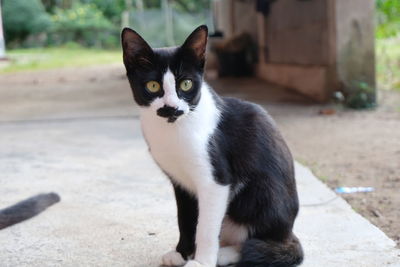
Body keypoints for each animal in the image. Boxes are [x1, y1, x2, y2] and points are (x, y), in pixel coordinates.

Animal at [122, 25, 304, 267]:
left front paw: (202, 261)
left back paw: (224, 254)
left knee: (261, 243)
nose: (171, 107)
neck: (175, 129)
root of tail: (288, 231)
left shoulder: (216, 182)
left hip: (262, 194)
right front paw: (182, 253)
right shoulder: (181, 183)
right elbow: (185, 219)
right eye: (152, 86)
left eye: (186, 84)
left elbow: (206, 229)